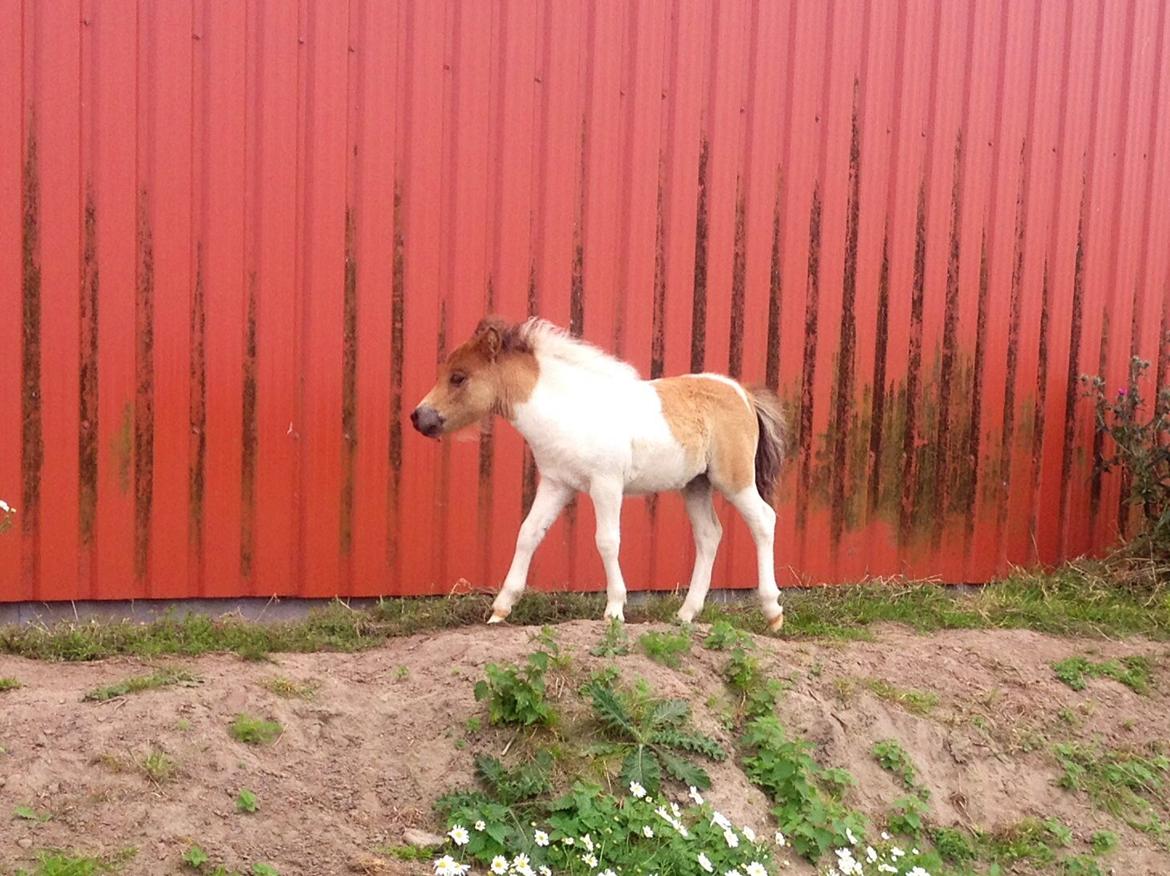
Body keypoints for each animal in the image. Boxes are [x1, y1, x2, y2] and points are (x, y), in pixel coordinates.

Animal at [409, 318, 786, 631]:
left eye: (458, 377)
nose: (418, 417)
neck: (569, 410)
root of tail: (743, 394)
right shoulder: (557, 484)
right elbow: (528, 533)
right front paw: (501, 609)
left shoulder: (606, 484)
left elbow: (606, 541)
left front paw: (614, 609)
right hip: (696, 485)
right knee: (709, 535)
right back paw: (685, 614)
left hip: (733, 479)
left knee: (764, 521)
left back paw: (773, 613)